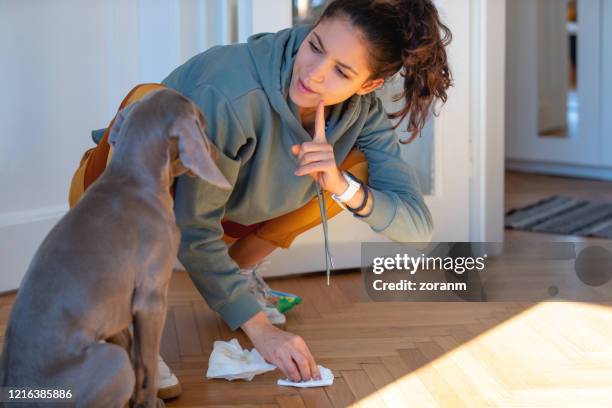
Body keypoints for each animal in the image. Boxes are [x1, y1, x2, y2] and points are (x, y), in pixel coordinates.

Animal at [0, 90, 230, 408]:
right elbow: (146, 360)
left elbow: (134, 349)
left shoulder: (115, 307)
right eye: (203, 125)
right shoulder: (150, 298)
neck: (131, 178)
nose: (219, 155)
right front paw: (148, 401)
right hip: (112, 362)